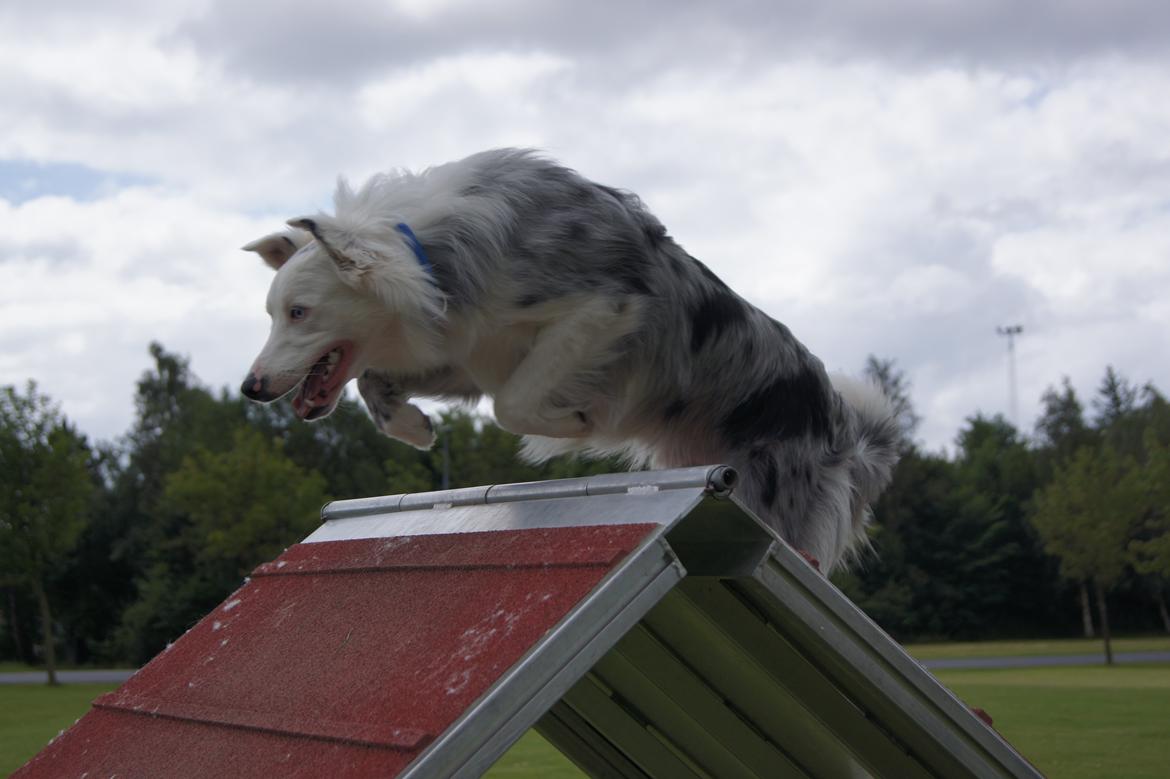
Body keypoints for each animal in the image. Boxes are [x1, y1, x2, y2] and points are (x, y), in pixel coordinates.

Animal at [237, 147, 893, 570]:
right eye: (271, 313)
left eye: (299, 312)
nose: (251, 387)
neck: (432, 259)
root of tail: (844, 430)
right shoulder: (469, 349)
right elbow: (378, 378)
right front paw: (413, 426)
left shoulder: (606, 309)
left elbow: (513, 405)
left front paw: (573, 423)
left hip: (771, 499)